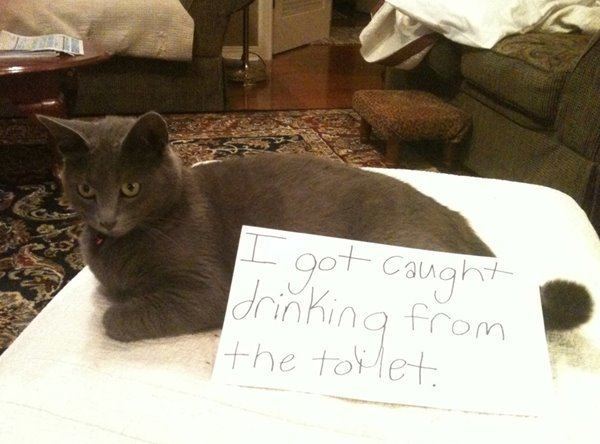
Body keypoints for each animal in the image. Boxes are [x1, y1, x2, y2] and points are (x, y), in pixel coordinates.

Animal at [38, 112, 596, 342]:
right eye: (85, 189)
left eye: (131, 188)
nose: (107, 218)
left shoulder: (206, 288)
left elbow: (115, 317)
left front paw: (122, 308)